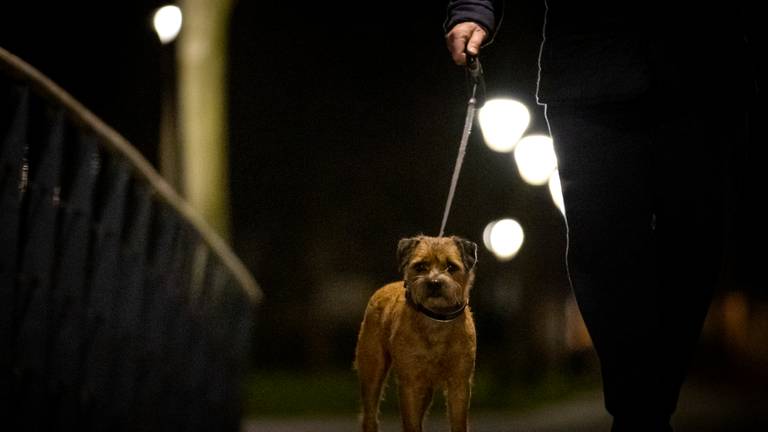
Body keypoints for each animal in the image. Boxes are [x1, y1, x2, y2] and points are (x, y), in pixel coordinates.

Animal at [356, 236, 476, 432]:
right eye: (420, 267)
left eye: (451, 267)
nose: (434, 282)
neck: (436, 318)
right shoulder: (410, 383)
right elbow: (411, 423)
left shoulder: (459, 382)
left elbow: (458, 422)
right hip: (372, 372)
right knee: (370, 416)